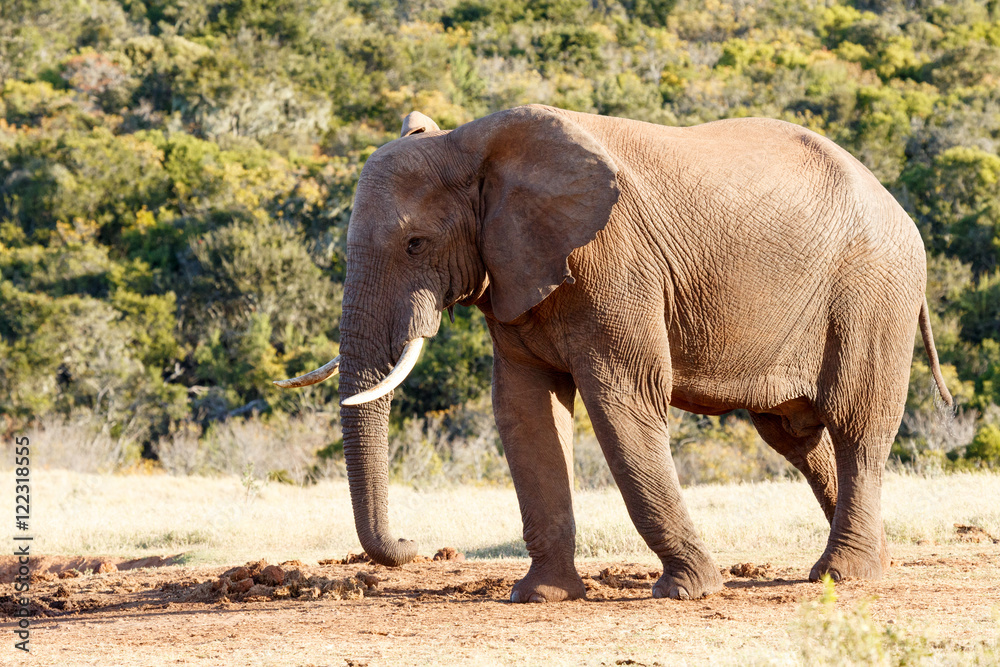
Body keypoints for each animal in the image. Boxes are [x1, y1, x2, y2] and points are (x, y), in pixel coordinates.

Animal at [274, 105, 952, 604]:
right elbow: (525, 412)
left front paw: (688, 591)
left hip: (872, 293)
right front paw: (541, 596)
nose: (414, 545)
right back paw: (872, 561)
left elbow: (622, 402)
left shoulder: (612, 263)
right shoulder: (517, 272)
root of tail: (895, 204)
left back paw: (842, 576)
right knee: (795, 436)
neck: (473, 145)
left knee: (856, 424)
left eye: (416, 244)